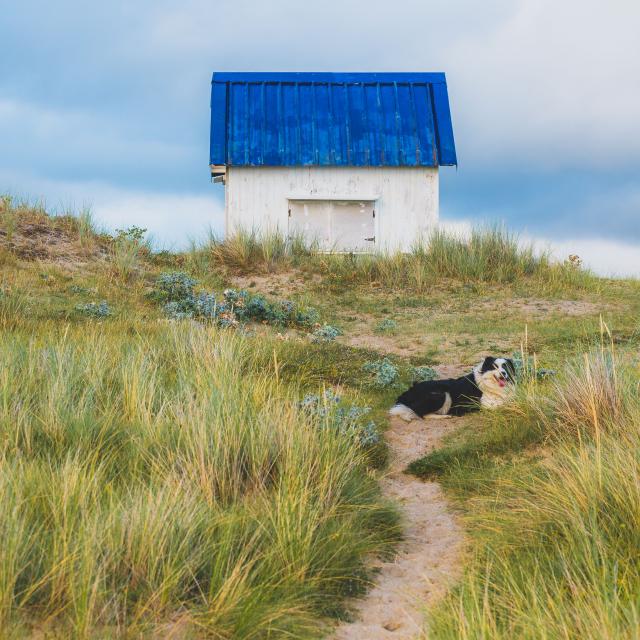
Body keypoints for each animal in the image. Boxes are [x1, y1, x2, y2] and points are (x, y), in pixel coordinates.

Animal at [388, 358, 516, 422]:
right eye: (495, 367)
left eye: (505, 367)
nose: (503, 374)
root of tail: (408, 392)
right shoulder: (485, 404)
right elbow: (503, 406)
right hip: (442, 394)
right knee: (421, 413)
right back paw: (444, 416)